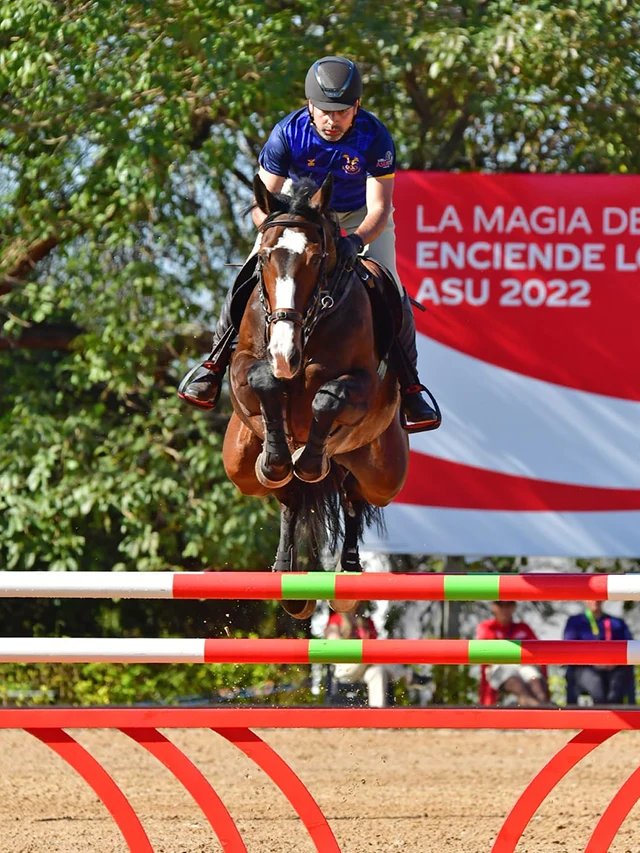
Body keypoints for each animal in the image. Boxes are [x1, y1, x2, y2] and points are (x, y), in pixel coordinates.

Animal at [222, 171, 408, 620]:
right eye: (265, 257)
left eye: (315, 257)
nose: (283, 353)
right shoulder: (244, 366)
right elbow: (264, 381)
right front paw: (277, 459)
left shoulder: (362, 383)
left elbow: (327, 398)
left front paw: (309, 463)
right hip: (238, 461)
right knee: (286, 496)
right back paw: (288, 577)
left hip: (383, 473)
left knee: (354, 496)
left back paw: (349, 578)